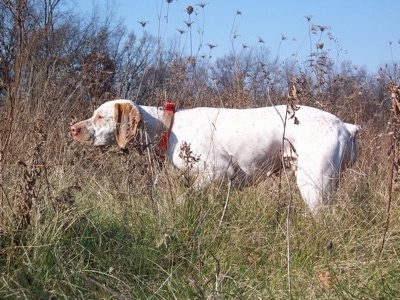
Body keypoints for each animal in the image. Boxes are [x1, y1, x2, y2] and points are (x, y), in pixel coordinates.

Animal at [70, 99, 360, 212]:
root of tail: (345, 126)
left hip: (314, 185)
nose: (73, 128)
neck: (169, 128)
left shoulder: (218, 173)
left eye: (100, 116)